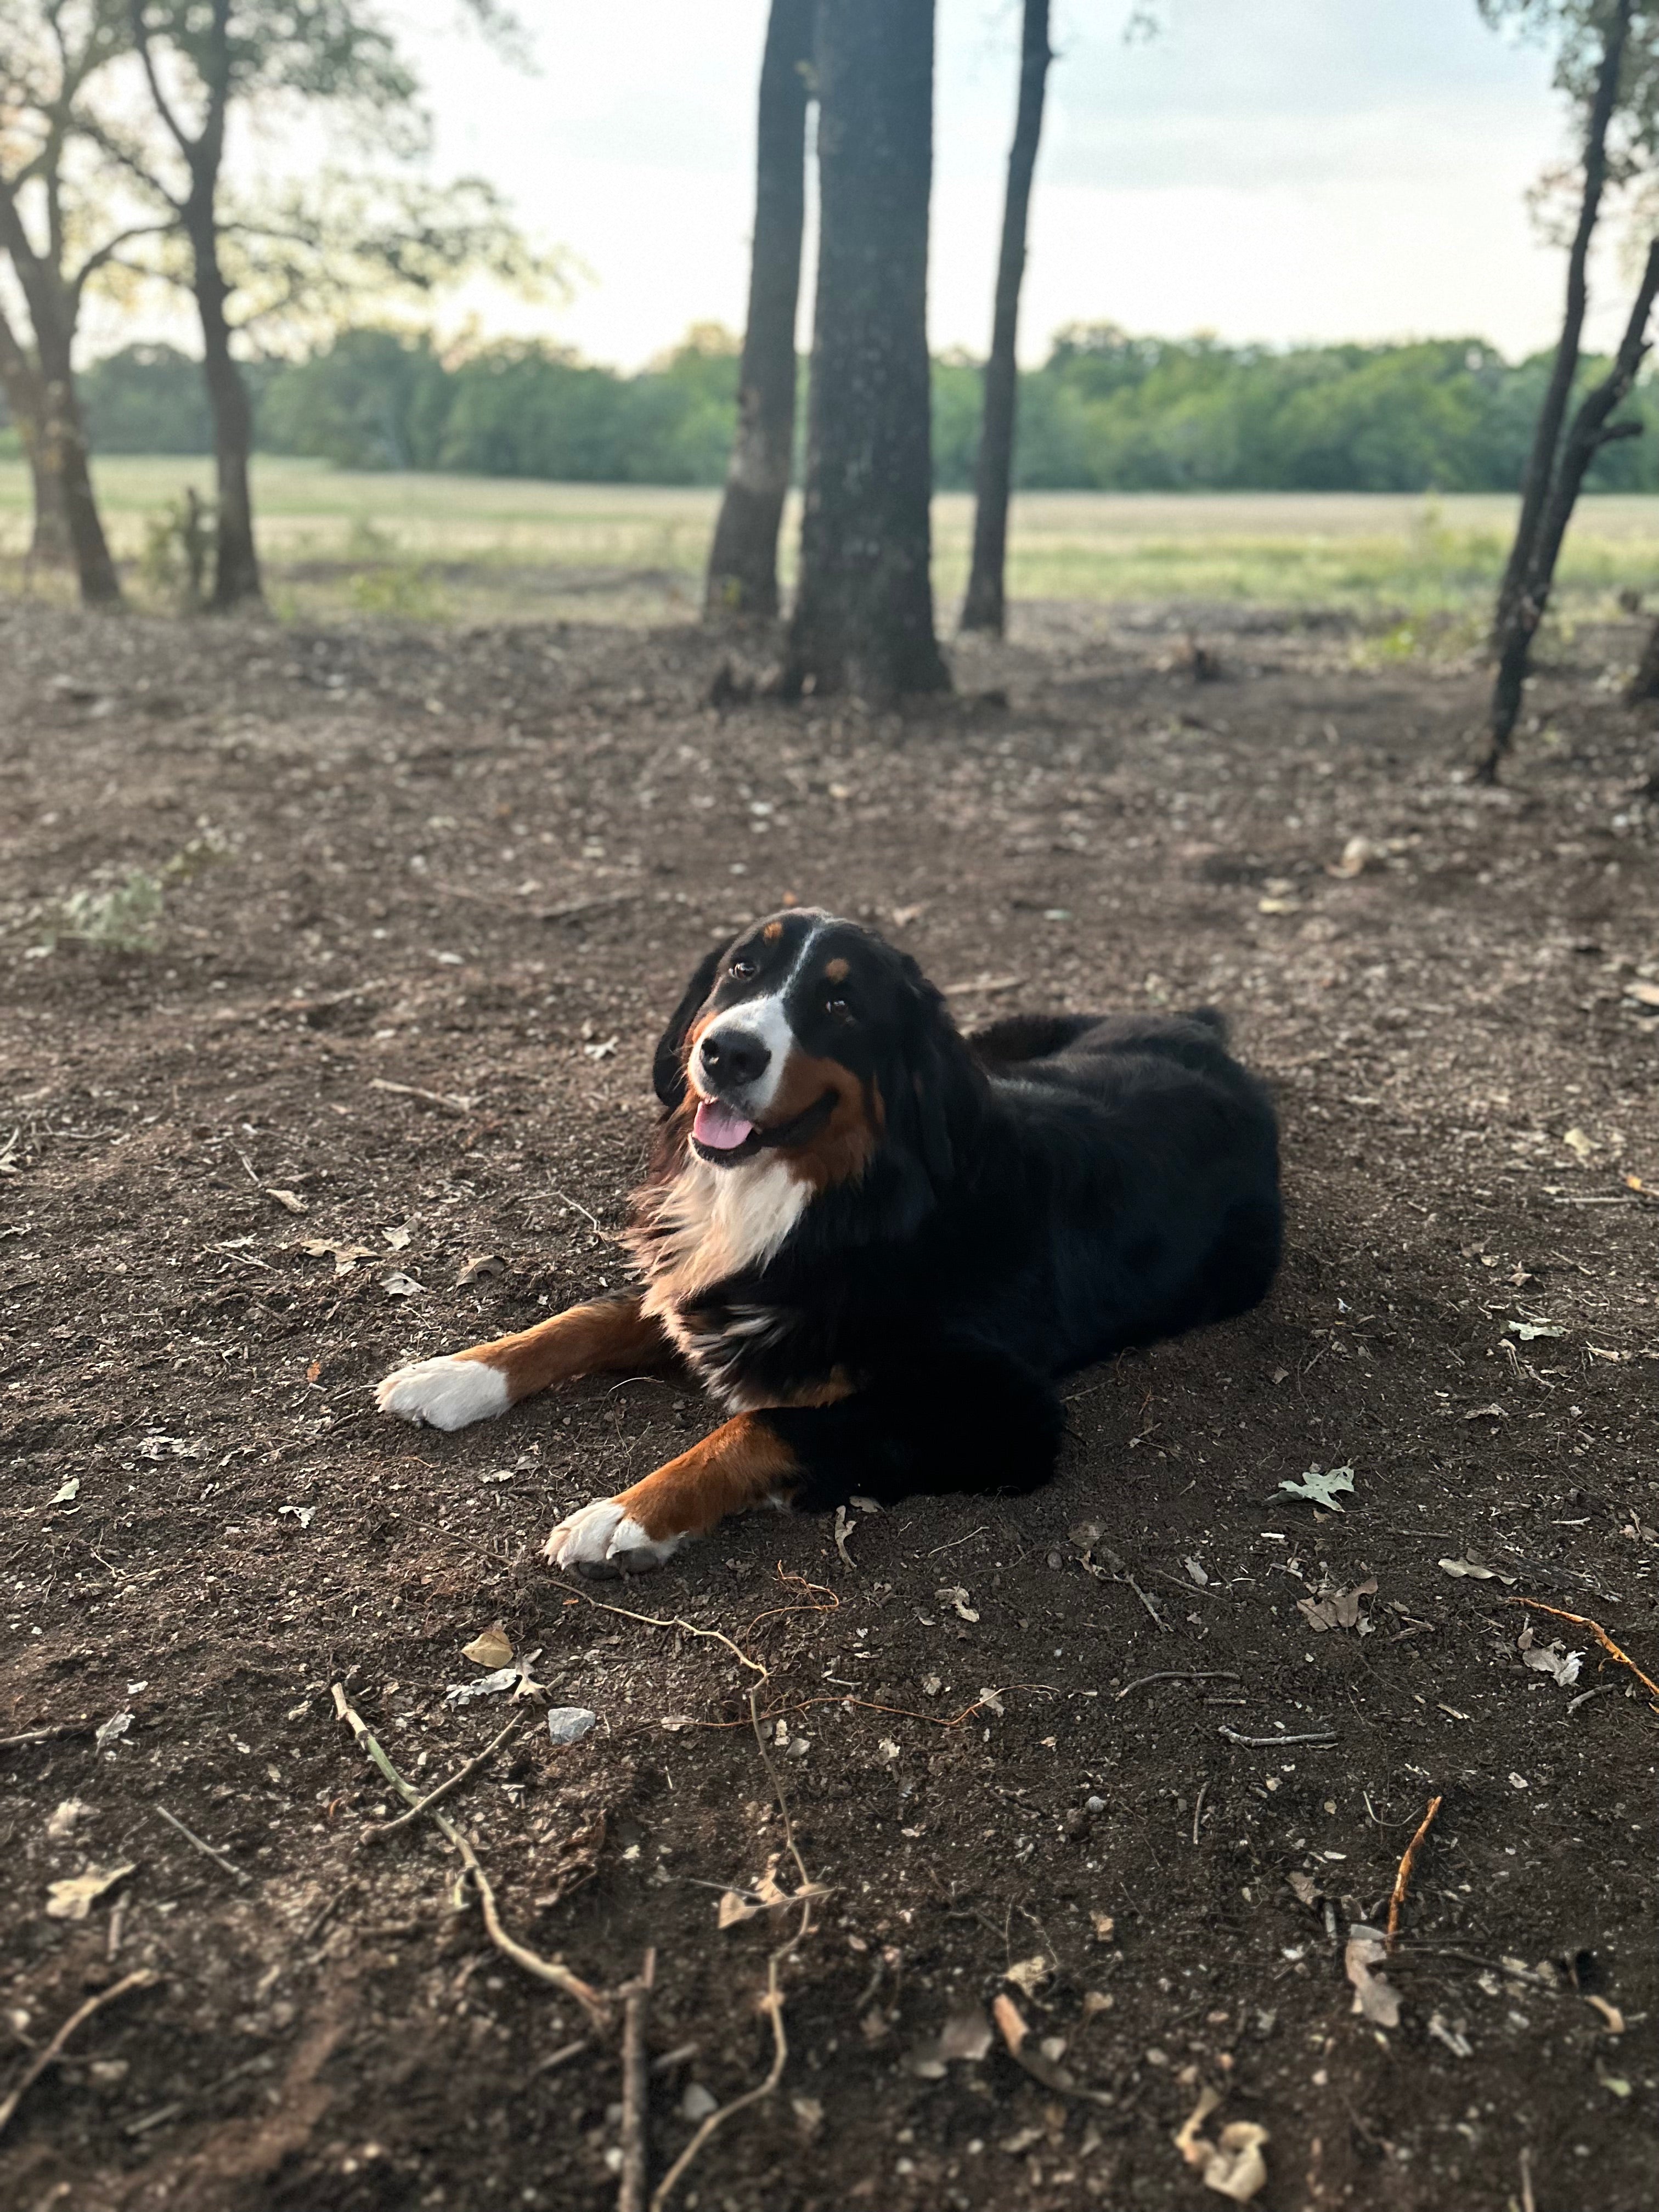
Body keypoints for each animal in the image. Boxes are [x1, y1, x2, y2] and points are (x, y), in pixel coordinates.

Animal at [380, 911, 1283, 1575]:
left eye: (843, 1006)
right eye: (742, 970)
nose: (728, 1052)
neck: (836, 1203)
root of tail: (1199, 1031)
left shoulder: (1005, 1414)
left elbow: (766, 1426)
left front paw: (626, 1515)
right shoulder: (719, 1293)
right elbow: (587, 1318)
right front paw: (457, 1374)